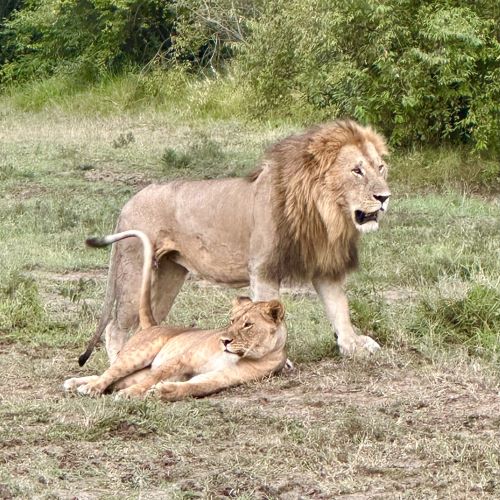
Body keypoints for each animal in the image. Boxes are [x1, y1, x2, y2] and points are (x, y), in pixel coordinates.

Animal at [64, 231, 288, 402]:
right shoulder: (182, 359)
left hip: (138, 368)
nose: (224, 341)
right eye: (232, 321)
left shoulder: (223, 377)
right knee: (110, 373)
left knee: (115, 379)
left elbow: (196, 386)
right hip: (137, 355)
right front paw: (130, 394)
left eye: (248, 325)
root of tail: (152, 324)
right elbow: (153, 378)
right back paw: (86, 386)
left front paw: (164, 391)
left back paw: (76, 384)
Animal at [79, 119, 390, 366]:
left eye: (381, 168)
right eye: (357, 171)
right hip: (135, 270)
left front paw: (353, 346)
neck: (325, 212)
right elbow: (270, 316)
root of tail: (129, 203)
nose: (385, 197)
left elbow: (340, 309)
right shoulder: (263, 268)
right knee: (114, 327)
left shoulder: (325, 266)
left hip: (167, 275)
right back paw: (118, 363)